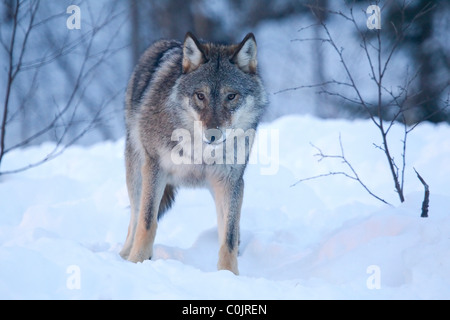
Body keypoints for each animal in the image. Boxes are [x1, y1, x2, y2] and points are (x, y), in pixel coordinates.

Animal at [119, 31, 268, 274]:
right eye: (200, 96)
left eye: (231, 96)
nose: (213, 135)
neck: (201, 152)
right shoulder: (155, 169)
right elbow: (147, 222)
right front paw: (137, 262)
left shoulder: (231, 180)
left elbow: (228, 237)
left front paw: (228, 275)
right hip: (136, 173)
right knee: (135, 216)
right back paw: (125, 255)